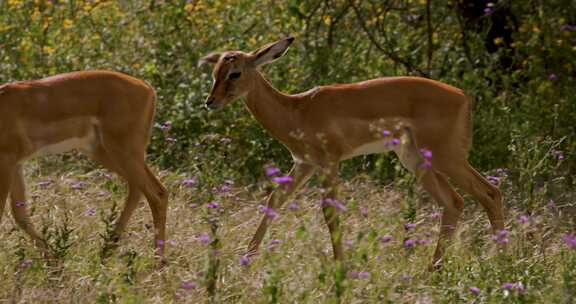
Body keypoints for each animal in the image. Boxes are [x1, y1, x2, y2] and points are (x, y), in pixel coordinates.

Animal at [1, 71, 169, 258]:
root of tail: (148, 88)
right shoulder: (16, 164)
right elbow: (20, 214)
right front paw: (53, 260)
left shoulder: (6, 161)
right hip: (104, 152)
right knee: (138, 190)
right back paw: (106, 250)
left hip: (122, 151)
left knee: (157, 194)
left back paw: (157, 260)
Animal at [201, 36, 504, 268]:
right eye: (215, 73)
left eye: (235, 72)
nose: (210, 102)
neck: (297, 110)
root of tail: (464, 97)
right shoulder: (304, 164)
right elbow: (274, 201)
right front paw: (245, 260)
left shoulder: (329, 162)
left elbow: (329, 212)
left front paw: (340, 267)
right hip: (417, 160)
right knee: (454, 202)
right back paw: (435, 268)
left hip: (446, 157)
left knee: (489, 192)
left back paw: (501, 261)